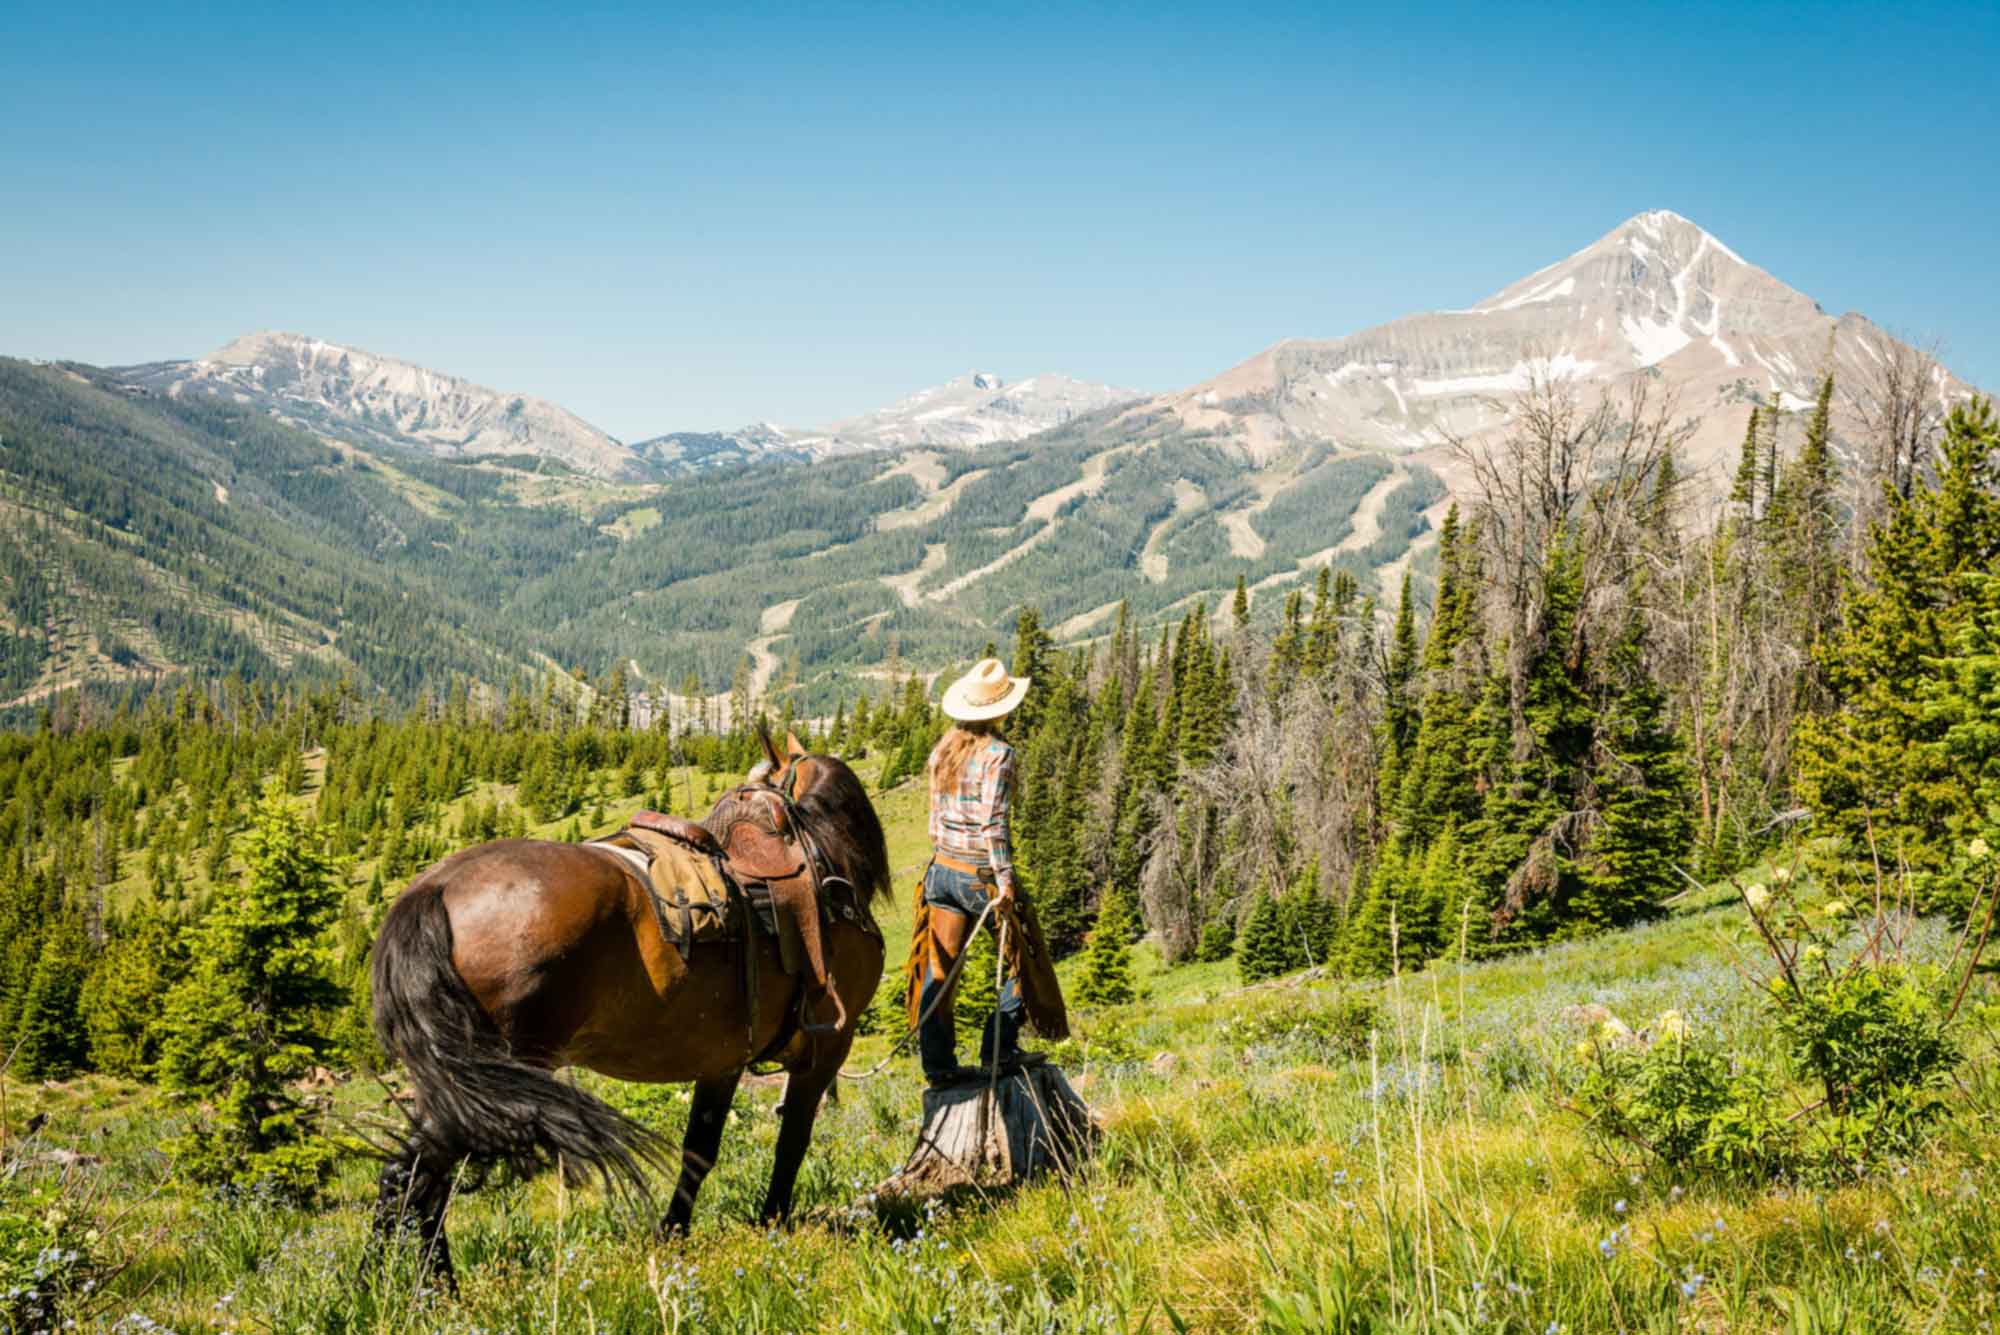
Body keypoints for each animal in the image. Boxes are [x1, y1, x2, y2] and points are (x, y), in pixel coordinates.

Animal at [366, 731, 892, 1279]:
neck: (824, 859)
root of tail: (437, 886)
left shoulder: (724, 1061)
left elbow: (700, 1149)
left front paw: (674, 1233)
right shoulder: (828, 1047)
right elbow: (793, 1140)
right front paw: (774, 1224)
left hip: (457, 1079)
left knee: (417, 1177)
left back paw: (411, 1285)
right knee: (416, 1175)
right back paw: (405, 1286)